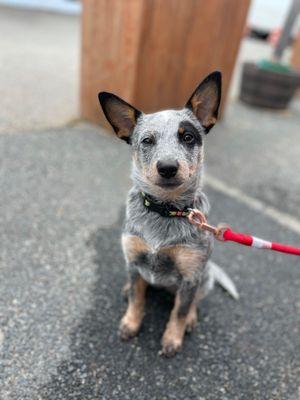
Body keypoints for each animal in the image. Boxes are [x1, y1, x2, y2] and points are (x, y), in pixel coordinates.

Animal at [98, 71, 237, 356]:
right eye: (147, 140)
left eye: (188, 137)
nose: (168, 167)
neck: (165, 211)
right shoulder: (133, 260)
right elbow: (137, 299)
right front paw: (130, 322)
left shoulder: (190, 276)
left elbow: (180, 311)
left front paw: (173, 338)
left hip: (204, 278)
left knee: (194, 302)